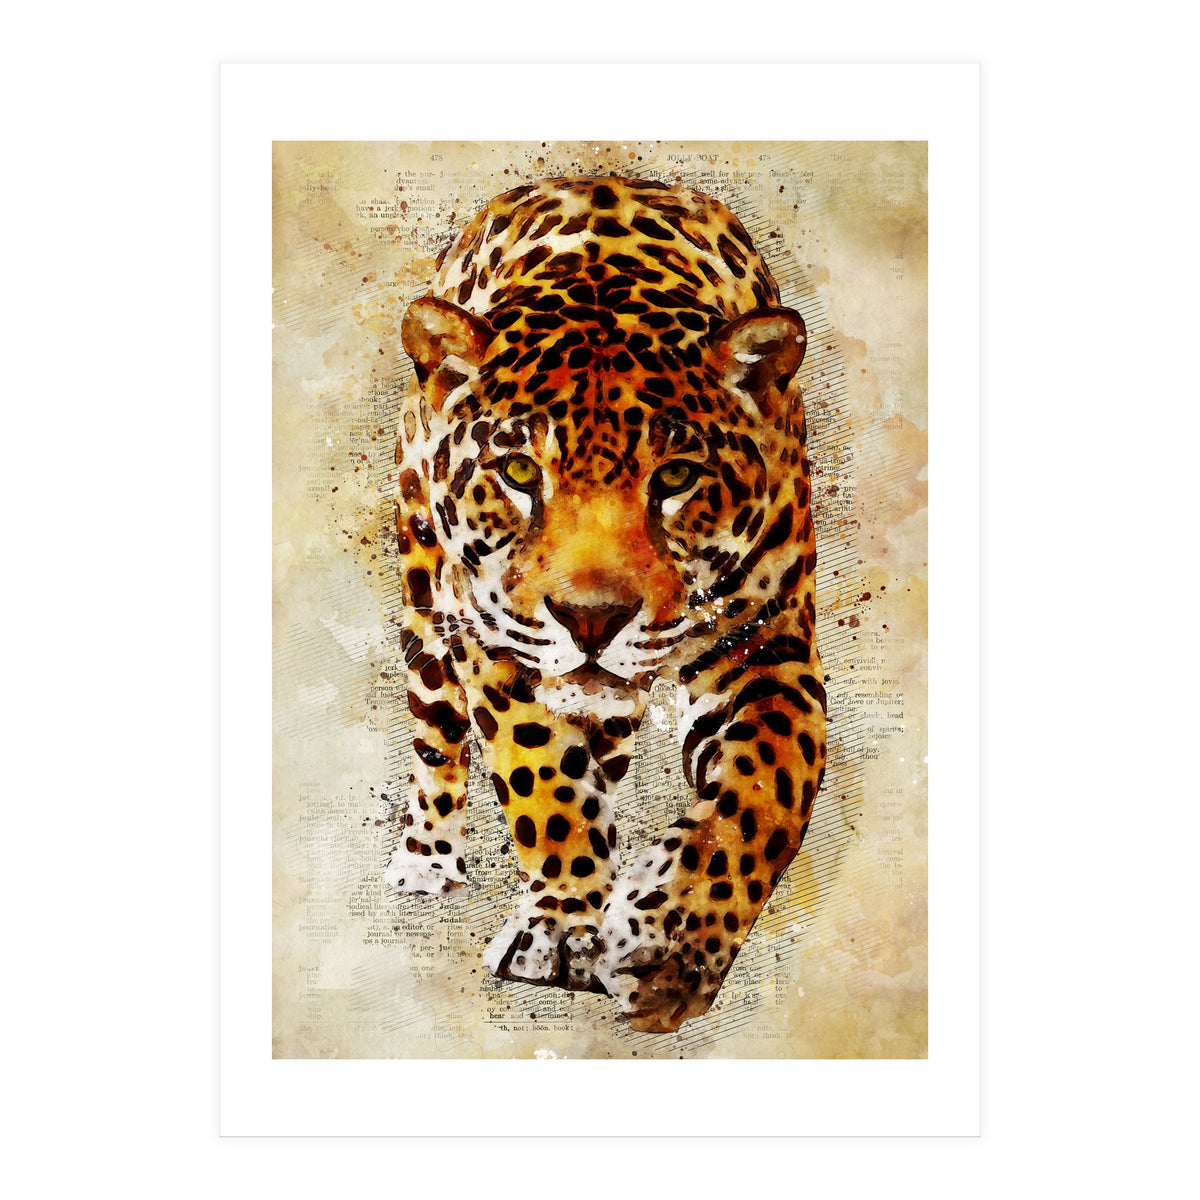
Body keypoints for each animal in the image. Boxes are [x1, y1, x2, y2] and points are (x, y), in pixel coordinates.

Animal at [384, 175, 826, 1033]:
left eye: (677, 476)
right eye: (519, 472)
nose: (591, 619)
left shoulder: (769, 644)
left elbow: (767, 790)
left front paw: (668, 945)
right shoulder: (497, 640)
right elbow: (540, 774)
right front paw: (562, 928)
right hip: (426, 600)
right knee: (436, 733)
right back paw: (427, 860)